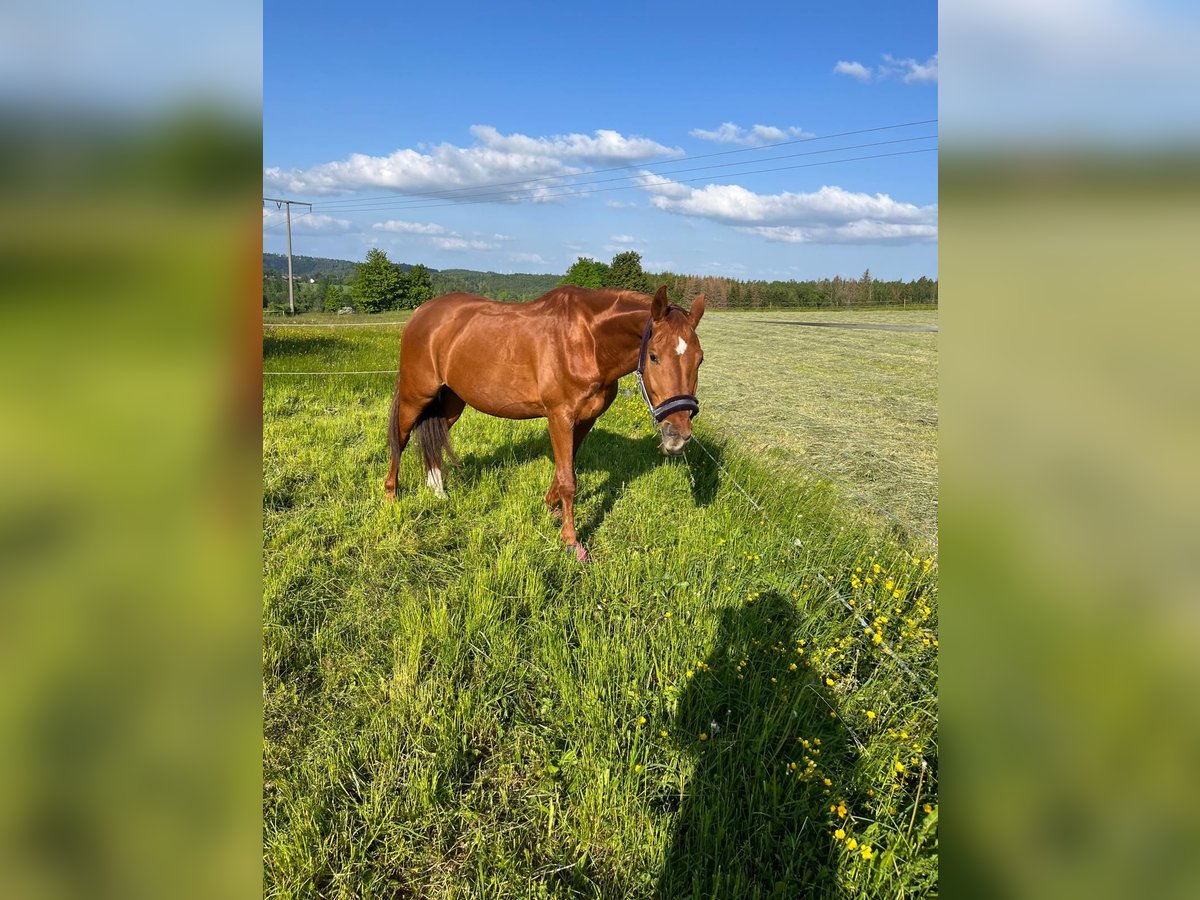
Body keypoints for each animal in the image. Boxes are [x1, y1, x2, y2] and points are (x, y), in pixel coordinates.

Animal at [384, 285, 700, 561]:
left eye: (699, 359)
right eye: (653, 356)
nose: (678, 436)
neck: (588, 342)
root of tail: (422, 313)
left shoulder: (584, 421)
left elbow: (564, 471)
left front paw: (551, 508)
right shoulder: (559, 418)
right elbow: (569, 480)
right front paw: (571, 542)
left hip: (451, 401)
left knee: (435, 437)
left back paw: (437, 490)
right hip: (416, 395)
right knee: (400, 438)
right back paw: (392, 495)